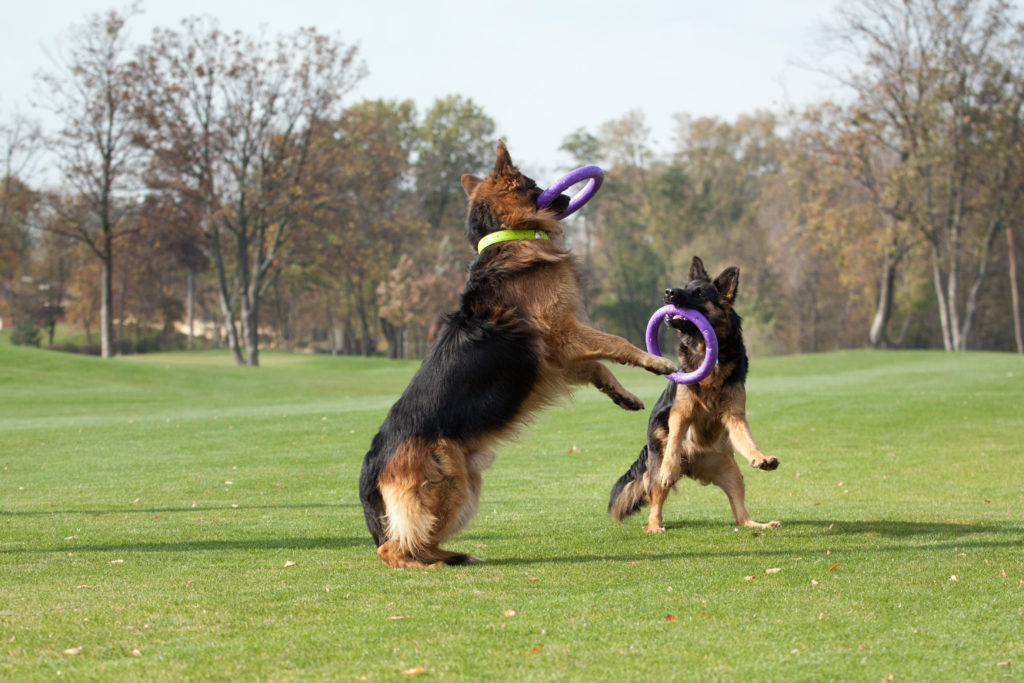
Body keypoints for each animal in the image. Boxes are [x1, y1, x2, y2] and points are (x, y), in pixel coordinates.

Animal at [360, 143, 679, 565]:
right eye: (534, 184)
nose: (565, 198)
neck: (507, 235)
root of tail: (374, 458)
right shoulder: (563, 334)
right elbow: (617, 342)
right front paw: (655, 361)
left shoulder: (559, 359)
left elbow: (598, 368)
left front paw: (623, 395)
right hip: (447, 486)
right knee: (393, 547)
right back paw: (434, 562)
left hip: (464, 486)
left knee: (415, 539)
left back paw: (455, 556)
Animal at [602, 255, 778, 532]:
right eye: (685, 286)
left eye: (699, 293)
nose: (668, 292)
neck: (704, 348)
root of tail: (692, 465)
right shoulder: (681, 411)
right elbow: (675, 440)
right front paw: (669, 469)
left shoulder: (734, 414)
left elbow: (748, 441)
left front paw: (761, 459)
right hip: (658, 467)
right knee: (655, 500)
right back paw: (655, 525)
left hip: (733, 474)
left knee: (740, 516)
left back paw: (759, 525)